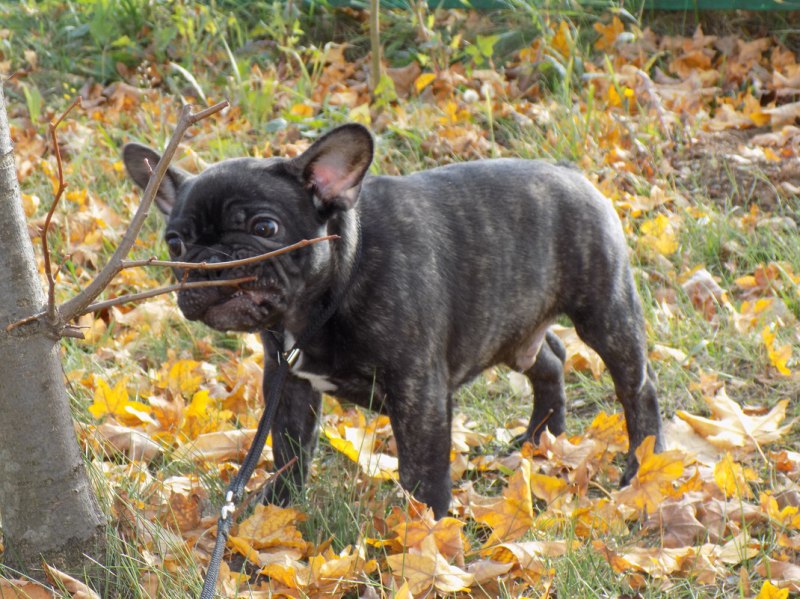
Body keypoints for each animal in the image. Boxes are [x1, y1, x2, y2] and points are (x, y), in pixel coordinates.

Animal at [123, 124, 664, 516]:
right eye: (175, 243)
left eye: (265, 227)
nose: (209, 261)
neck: (330, 295)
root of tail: (568, 171)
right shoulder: (287, 380)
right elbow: (289, 450)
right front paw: (277, 509)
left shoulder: (418, 393)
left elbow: (422, 472)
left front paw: (429, 532)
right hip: (513, 327)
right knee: (549, 357)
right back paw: (538, 439)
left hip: (605, 313)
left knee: (637, 389)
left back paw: (642, 467)